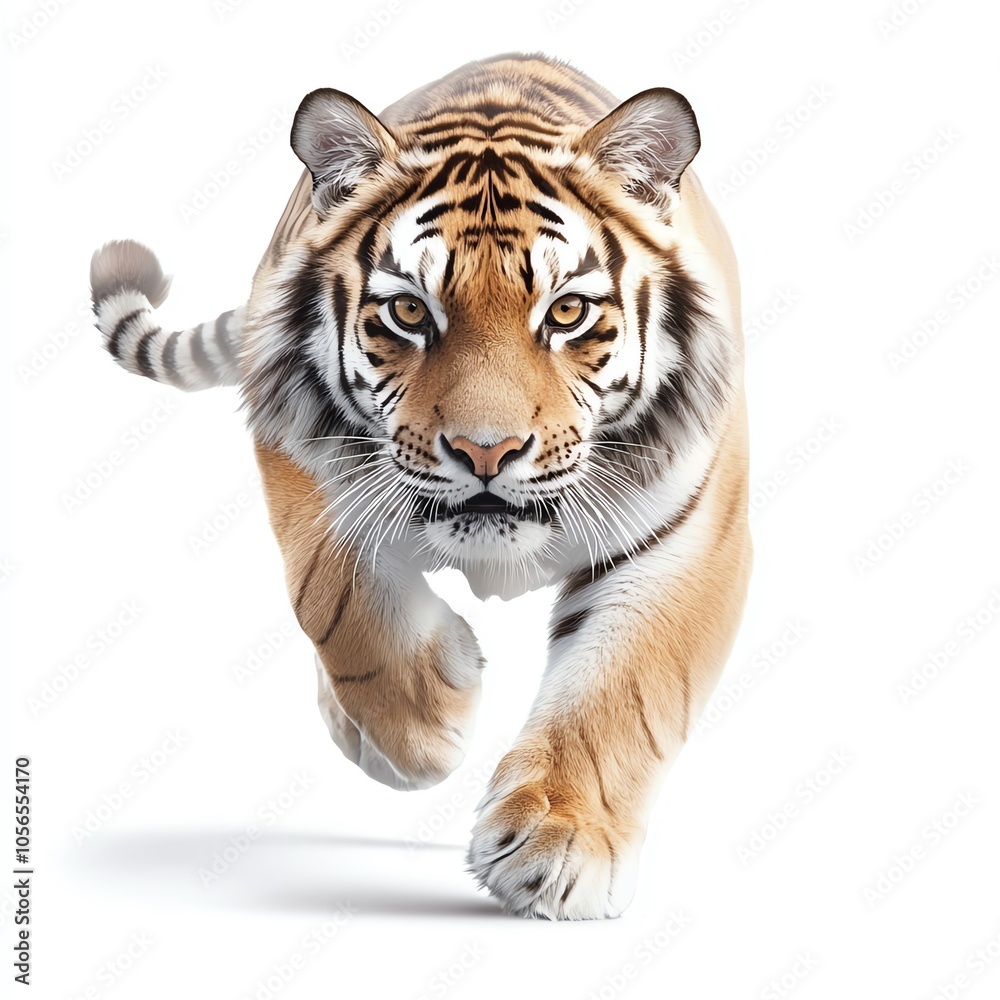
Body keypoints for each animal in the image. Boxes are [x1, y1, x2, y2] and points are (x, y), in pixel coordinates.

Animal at [89, 53, 752, 920]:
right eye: (408, 311)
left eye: (567, 312)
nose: (485, 451)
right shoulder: (294, 447)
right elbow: (334, 595)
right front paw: (432, 718)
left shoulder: (691, 529)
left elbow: (626, 689)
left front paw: (558, 845)